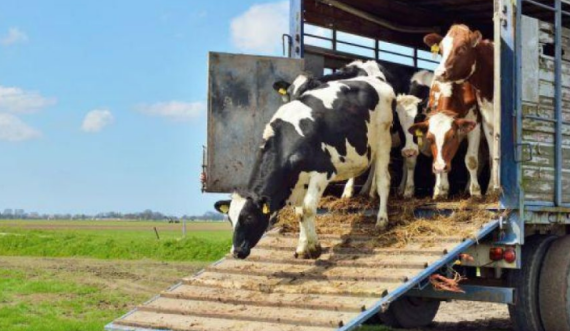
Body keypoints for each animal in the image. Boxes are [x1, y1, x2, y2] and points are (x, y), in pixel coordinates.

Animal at [215, 65, 392, 260]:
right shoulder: (298, 182)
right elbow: (299, 212)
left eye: (249, 218)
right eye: (230, 219)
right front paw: (302, 247)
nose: (236, 251)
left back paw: (382, 219)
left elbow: (307, 209)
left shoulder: (322, 172)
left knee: (384, 181)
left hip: (384, 140)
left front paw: (314, 248)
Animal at [422, 25, 496, 192]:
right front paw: (440, 188)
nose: (439, 73)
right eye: (441, 50)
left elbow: (471, 159)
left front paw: (477, 191)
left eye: (462, 48)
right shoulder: (487, 120)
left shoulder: (476, 122)